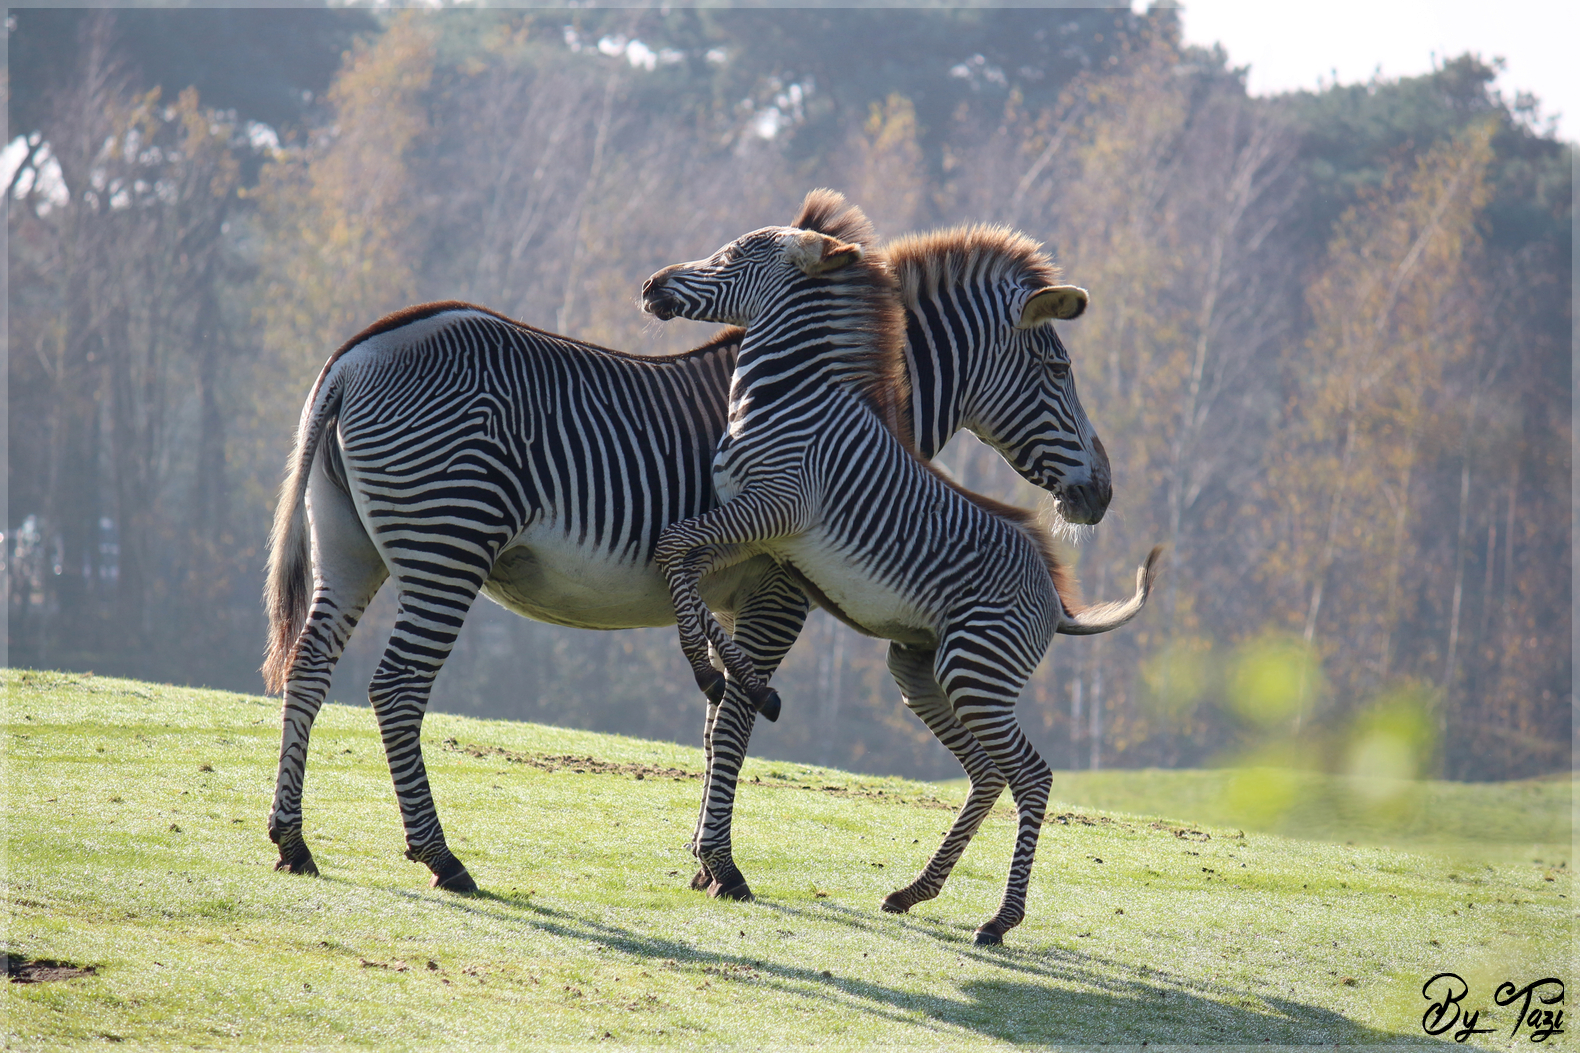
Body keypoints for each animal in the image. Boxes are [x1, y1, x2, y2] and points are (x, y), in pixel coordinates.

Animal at [261, 189, 1115, 897]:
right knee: (398, 686)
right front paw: (723, 864)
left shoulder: (731, 589)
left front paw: (700, 853)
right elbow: (734, 712)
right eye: (1057, 364)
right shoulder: (778, 586)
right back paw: (441, 856)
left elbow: (712, 718)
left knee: (309, 665)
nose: (1100, 493)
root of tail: (359, 353)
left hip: (350, 546)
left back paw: (293, 839)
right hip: (447, 546)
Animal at [643, 217, 1160, 944]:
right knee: (988, 771)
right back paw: (916, 891)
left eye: (734, 256)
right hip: (923, 668)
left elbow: (674, 549)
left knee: (1031, 773)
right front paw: (728, 669)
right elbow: (680, 561)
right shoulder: (747, 525)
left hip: (976, 668)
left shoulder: (778, 509)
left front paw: (716, 670)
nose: (651, 283)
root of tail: (1056, 600)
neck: (785, 395)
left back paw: (1000, 919)